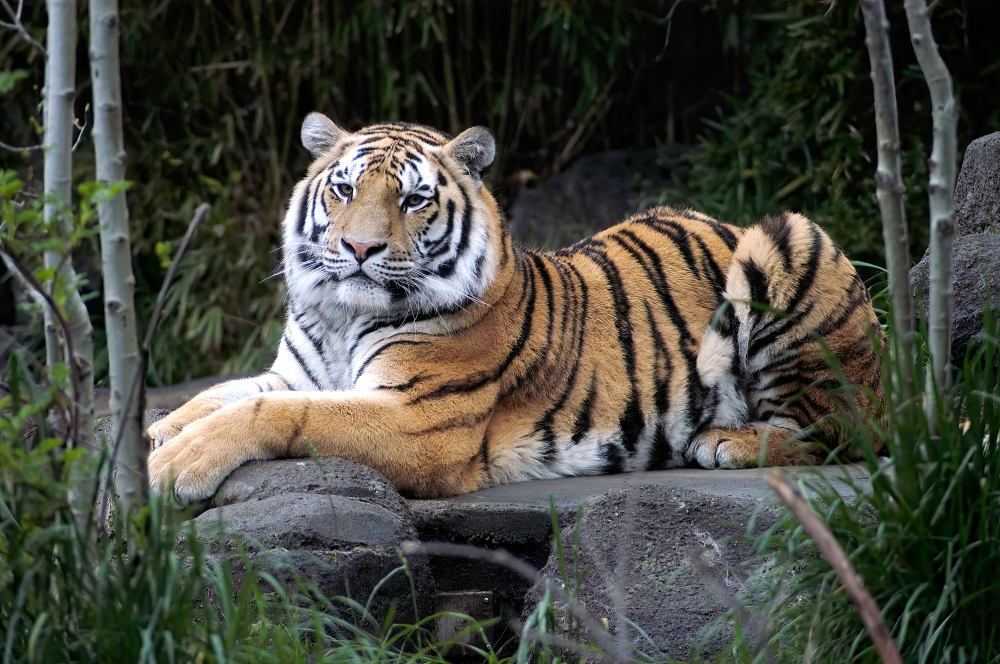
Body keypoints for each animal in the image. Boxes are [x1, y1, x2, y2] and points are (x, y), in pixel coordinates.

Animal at [146, 113, 884, 504]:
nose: (358, 247)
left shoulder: (421, 421)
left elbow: (273, 413)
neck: (340, 317)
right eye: (345, 189)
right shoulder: (296, 373)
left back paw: (728, 441)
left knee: (845, 427)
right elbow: (217, 395)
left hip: (787, 239)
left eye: (413, 199)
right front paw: (157, 435)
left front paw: (172, 466)